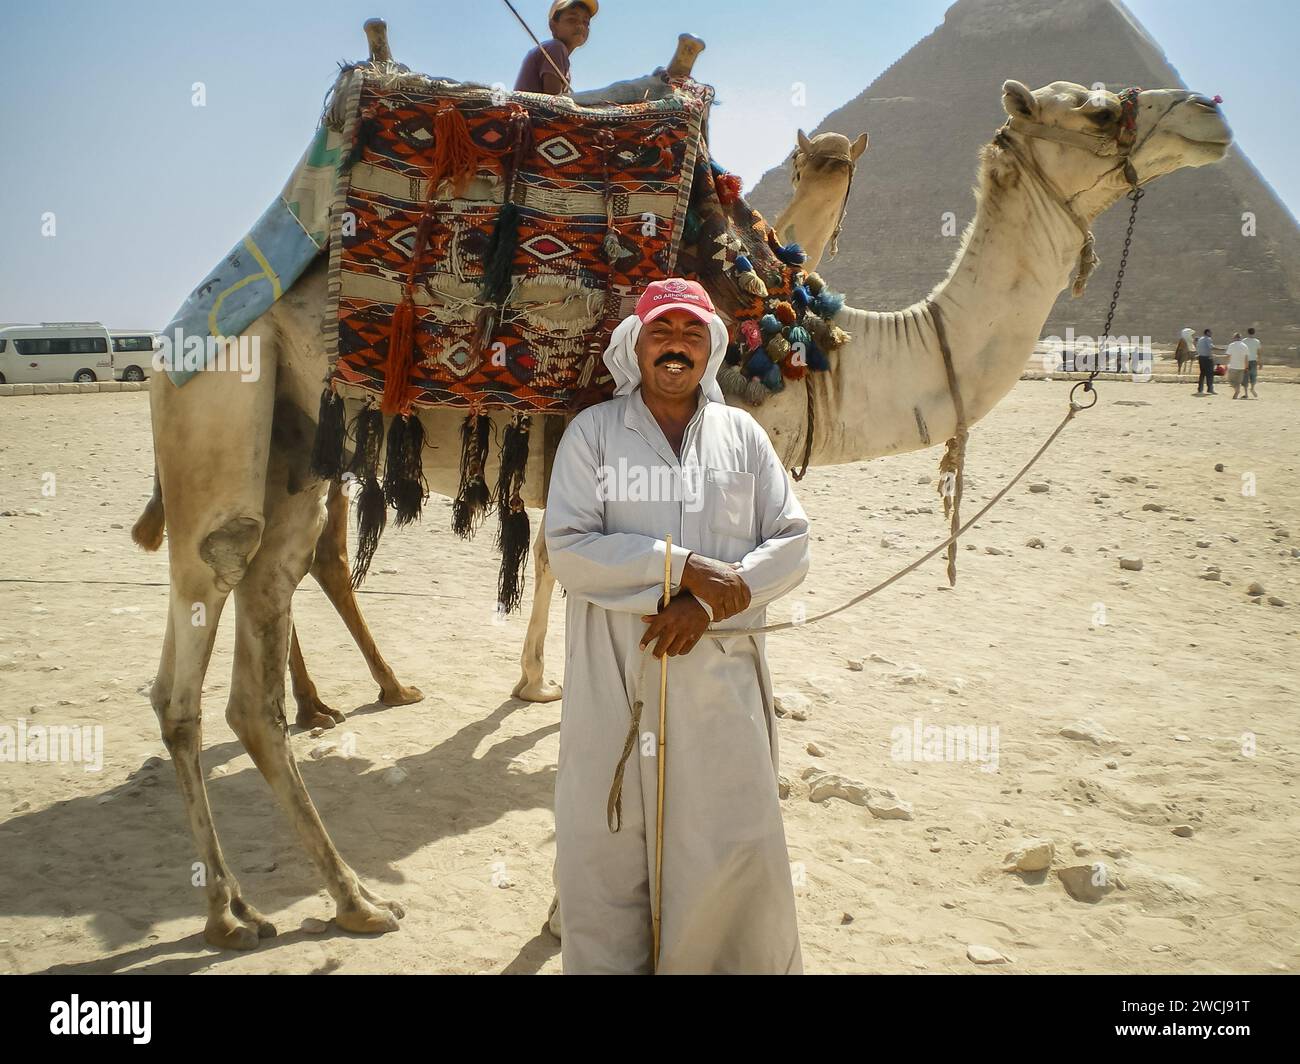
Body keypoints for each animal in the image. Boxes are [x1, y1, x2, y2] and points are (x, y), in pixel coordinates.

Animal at [134, 78, 1227, 946]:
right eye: (1097, 108)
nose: (1210, 113)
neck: (814, 349)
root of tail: (171, 330)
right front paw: (570, 913)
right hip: (223, 415)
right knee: (193, 652)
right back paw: (237, 908)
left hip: (295, 455)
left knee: (253, 666)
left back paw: (339, 893)